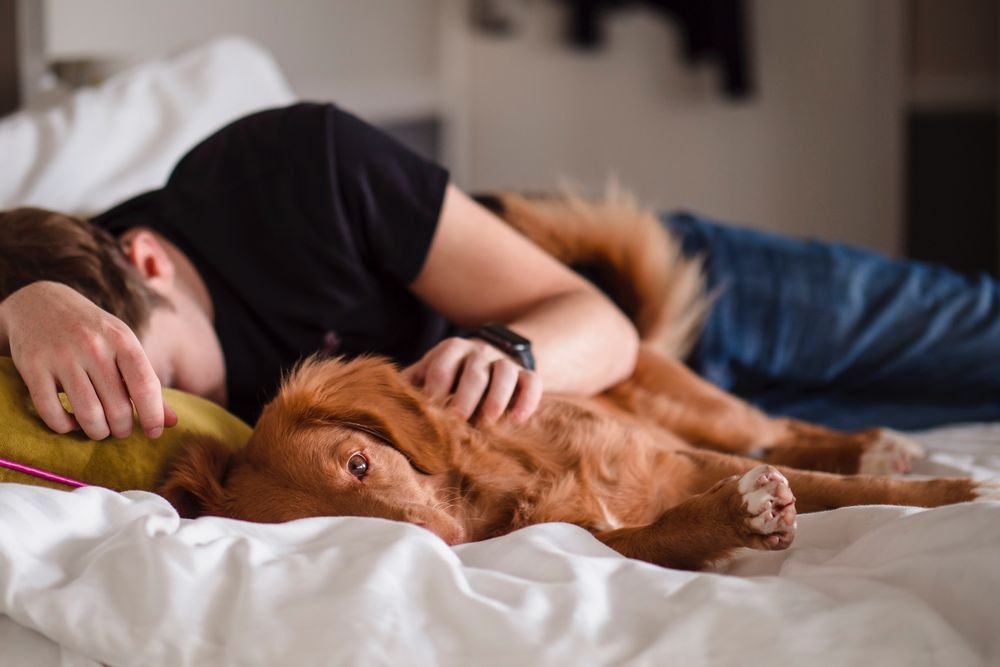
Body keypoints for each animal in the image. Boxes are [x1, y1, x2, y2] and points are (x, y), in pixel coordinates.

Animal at [158, 196, 1000, 572]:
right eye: (332, 528)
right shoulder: (598, 536)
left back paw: (878, 445)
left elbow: (840, 488)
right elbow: (670, 529)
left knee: (782, 428)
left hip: (703, 411)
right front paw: (738, 516)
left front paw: (959, 492)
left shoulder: (680, 456)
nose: (443, 543)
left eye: (361, 463)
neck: (505, 483)